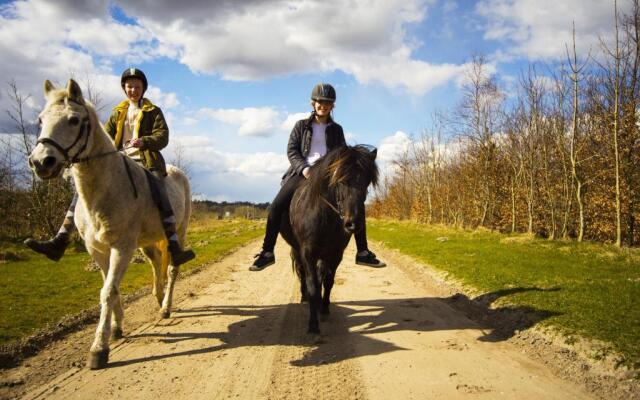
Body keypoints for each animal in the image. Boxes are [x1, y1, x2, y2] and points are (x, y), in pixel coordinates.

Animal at [28, 79, 192, 370]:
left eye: (74, 120)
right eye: (40, 119)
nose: (40, 162)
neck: (105, 189)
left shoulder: (122, 248)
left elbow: (109, 291)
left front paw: (98, 349)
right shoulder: (97, 249)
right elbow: (107, 288)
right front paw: (116, 328)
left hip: (178, 232)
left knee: (172, 268)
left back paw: (165, 307)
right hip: (147, 241)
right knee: (156, 264)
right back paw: (158, 296)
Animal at [278, 145, 378, 332]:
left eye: (367, 182)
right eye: (339, 180)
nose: (353, 224)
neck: (324, 217)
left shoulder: (335, 253)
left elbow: (328, 280)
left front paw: (323, 309)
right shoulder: (308, 253)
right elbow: (311, 283)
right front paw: (313, 324)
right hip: (297, 249)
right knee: (302, 272)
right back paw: (304, 298)